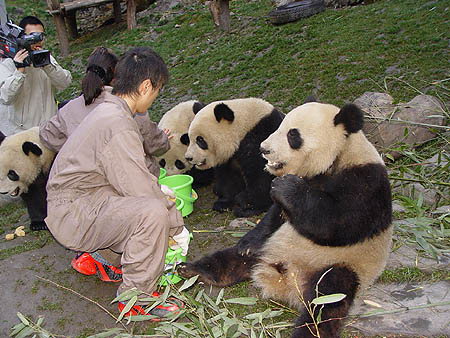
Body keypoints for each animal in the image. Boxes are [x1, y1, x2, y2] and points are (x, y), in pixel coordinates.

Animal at [178, 101, 392, 336]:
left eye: (292, 135)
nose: (265, 149)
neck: (339, 155)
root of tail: (286, 281)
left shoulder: (366, 181)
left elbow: (338, 223)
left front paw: (279, 189)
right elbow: (274, 215)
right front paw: (244, 232)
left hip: (341, 266)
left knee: (327, 301)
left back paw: (310, 329)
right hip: (268, 248)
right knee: (227, 260)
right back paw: (192, 269)